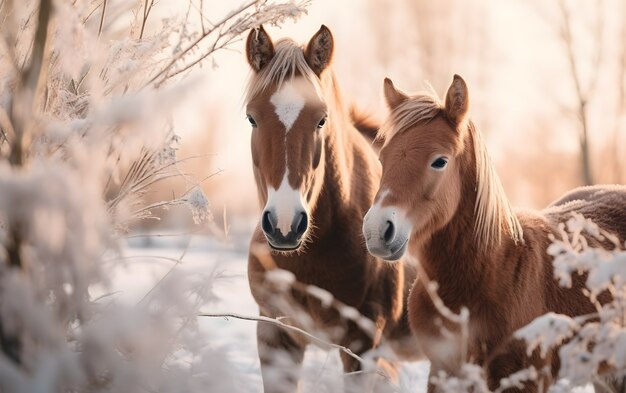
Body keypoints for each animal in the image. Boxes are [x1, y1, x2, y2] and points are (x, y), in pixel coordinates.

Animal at [360, 75, 624, 390]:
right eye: (383, 158)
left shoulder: (521, 378)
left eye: (440, 161)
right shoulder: (442, 371)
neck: (490, 270)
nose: (376, 230)